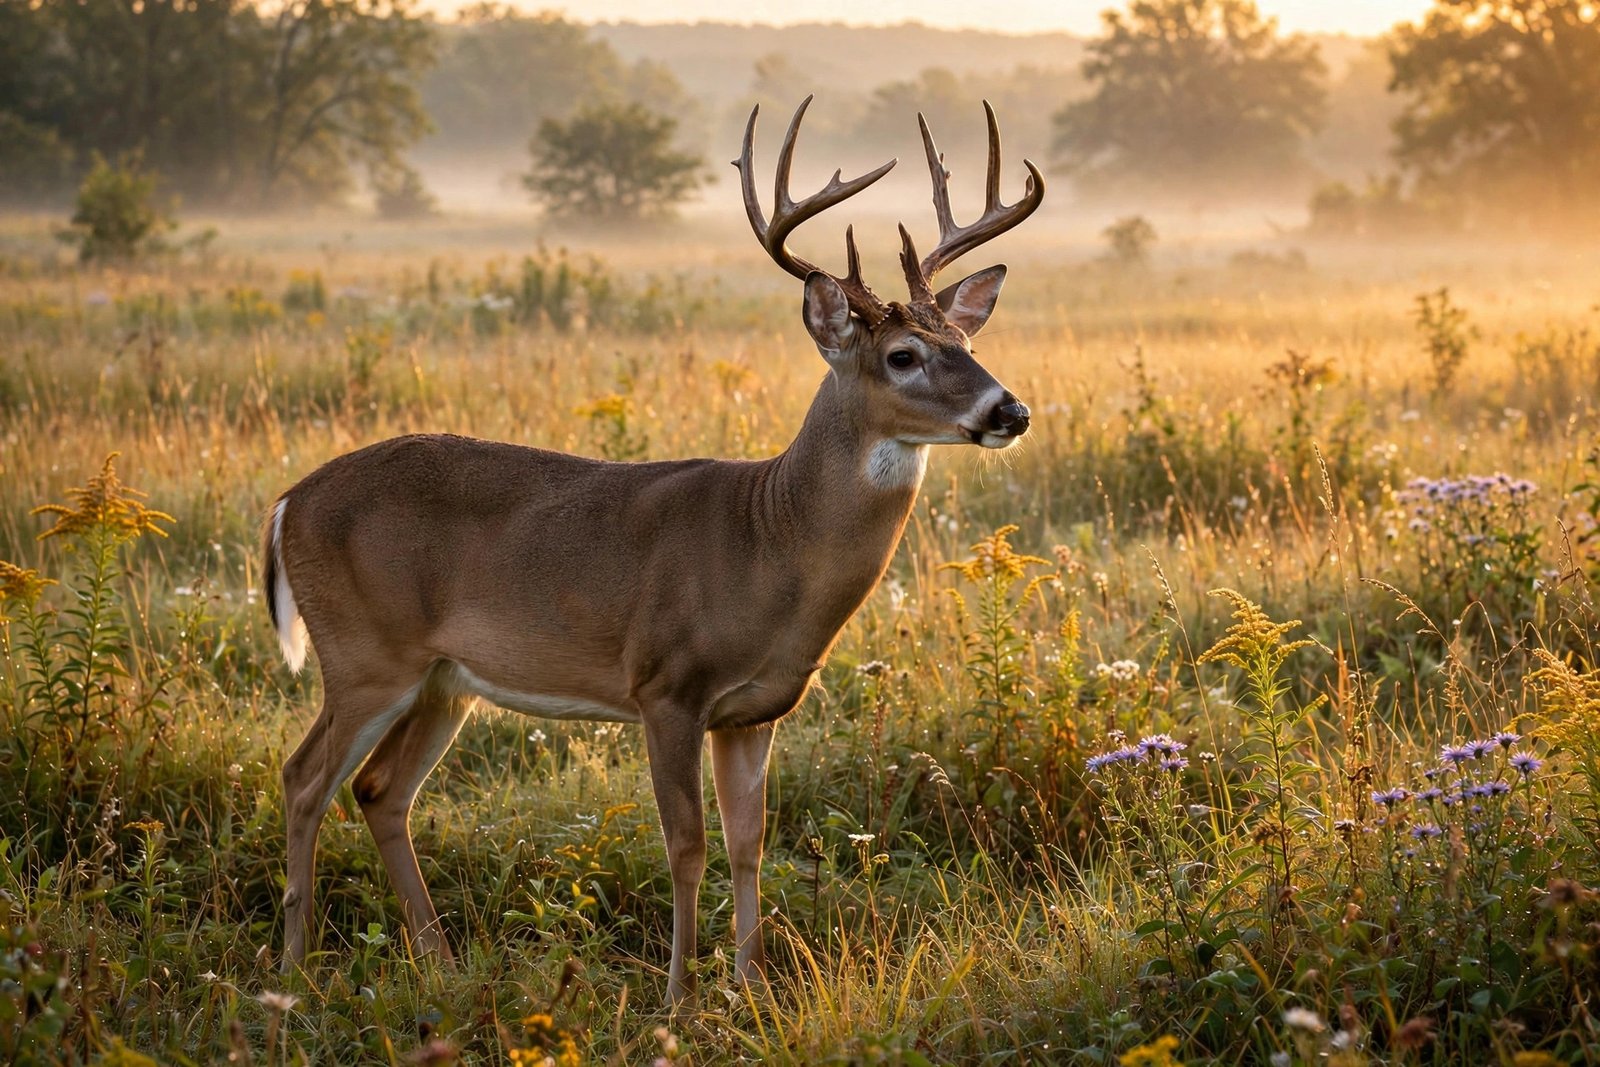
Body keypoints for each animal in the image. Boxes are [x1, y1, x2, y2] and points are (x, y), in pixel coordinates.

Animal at [262, 95, 1043, 1007]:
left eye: (966, 341)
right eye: (903, 354)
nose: (1010, 409)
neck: (768, 538)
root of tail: (288, 501)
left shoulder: (755, 709)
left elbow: (748, 841)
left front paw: (750, 987)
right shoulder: (666, 684)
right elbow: (687, 843)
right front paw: (678, 996)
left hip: (442, 680)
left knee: (379, 790)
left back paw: (441, 963)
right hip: (364, 653)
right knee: (303, 778)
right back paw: (292, 968)